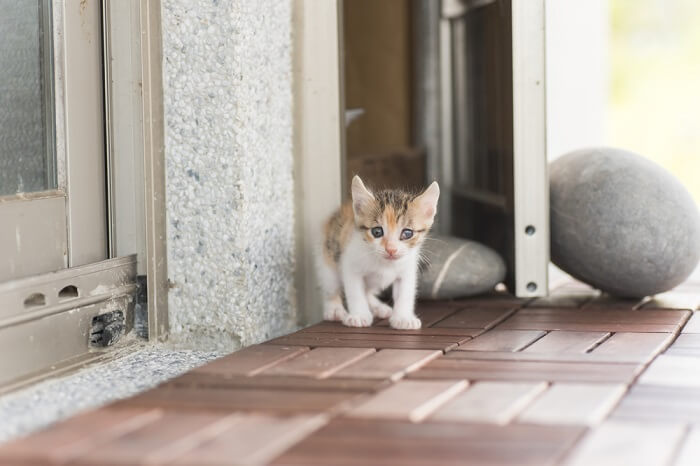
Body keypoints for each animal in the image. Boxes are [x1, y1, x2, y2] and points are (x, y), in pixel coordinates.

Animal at [318, 177, 438, 330]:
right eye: (377, 232)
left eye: (407, 233)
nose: (391, 249)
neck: (385, 264)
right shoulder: (350, 264)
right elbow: (355, 292)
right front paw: (359, 316)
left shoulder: (407, 269)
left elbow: (405, 292)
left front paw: (403, 318)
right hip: (328, 258)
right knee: (331, 286)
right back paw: (334, 309)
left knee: (368, 291)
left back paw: (378, 307)